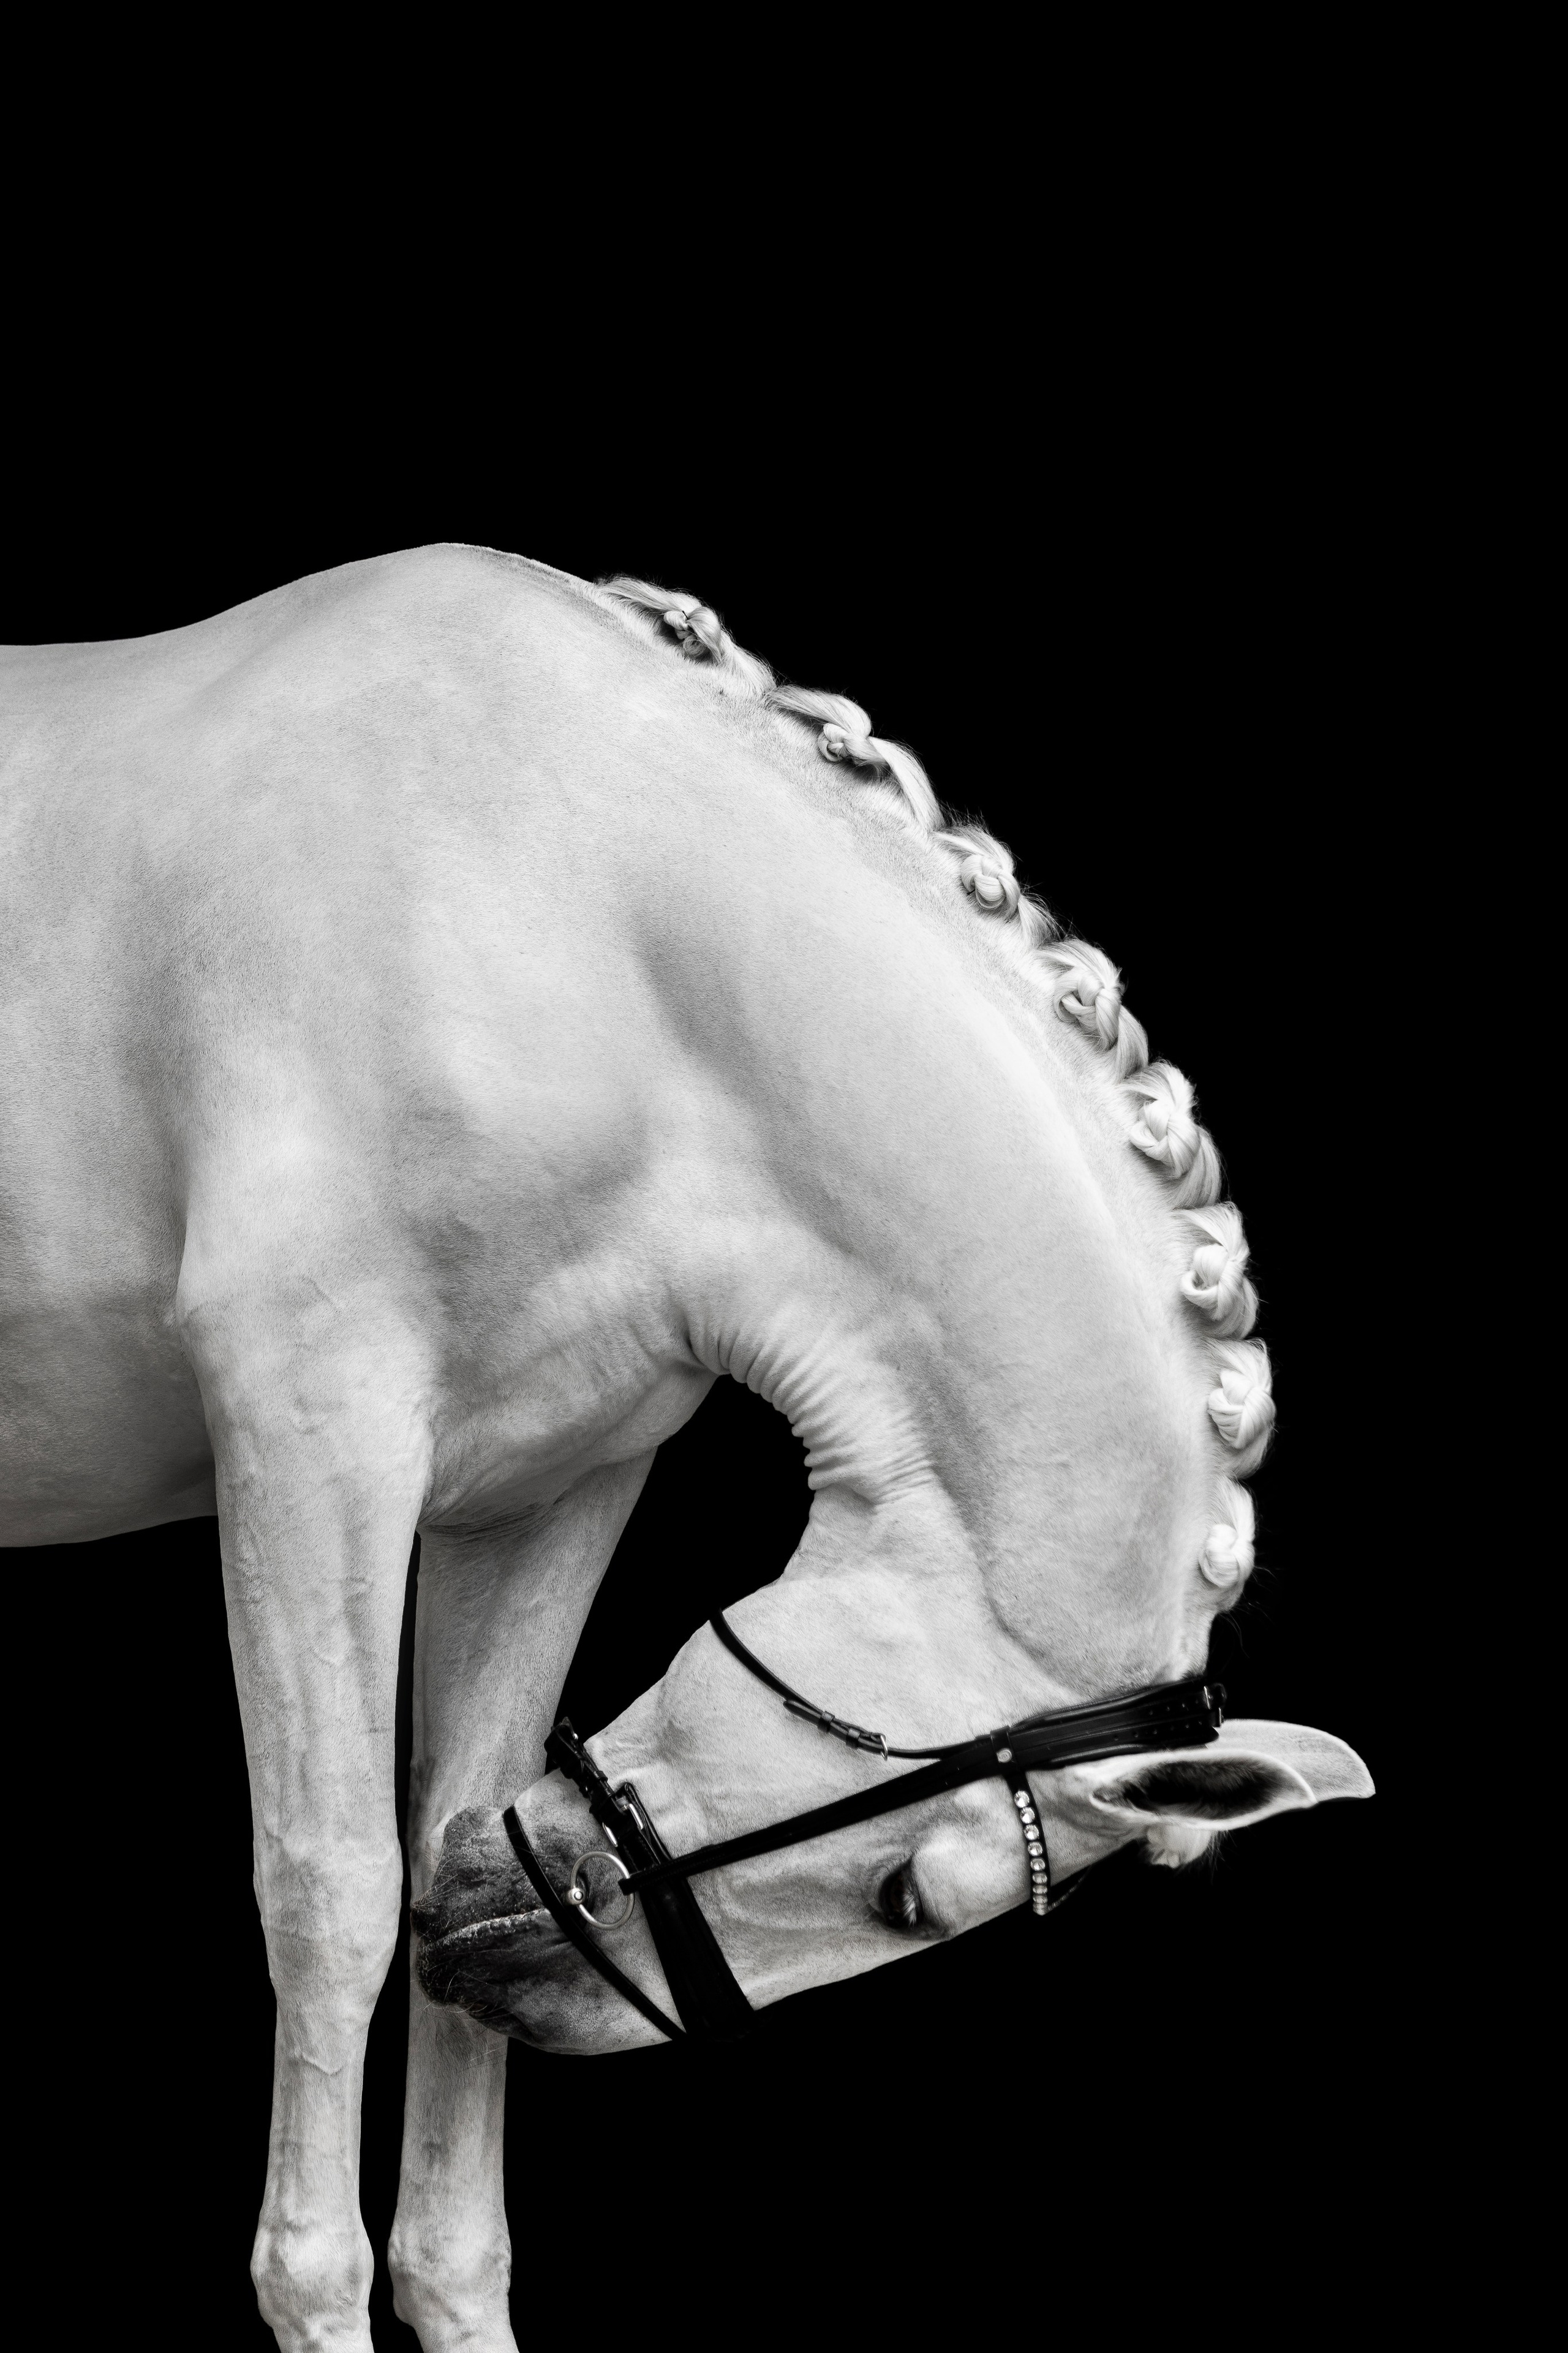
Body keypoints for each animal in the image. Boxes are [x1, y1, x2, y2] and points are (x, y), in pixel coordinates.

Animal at [0, 545, 1371, 2352]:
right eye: (905, 1897)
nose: (495, 1959)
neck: (572, 909)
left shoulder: (547, 1483)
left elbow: (440, 1837)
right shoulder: (307, 1428)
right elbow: (334, 1890)